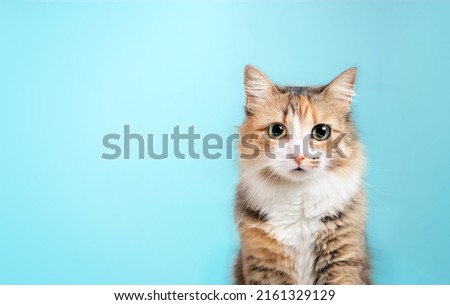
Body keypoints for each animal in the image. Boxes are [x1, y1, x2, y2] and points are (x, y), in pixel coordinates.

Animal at [234, 65, 370, 284]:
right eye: (276, 130)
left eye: (321, 131)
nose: (298, 156)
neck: (298, 196)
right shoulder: (266, 265)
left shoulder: (342, 260)